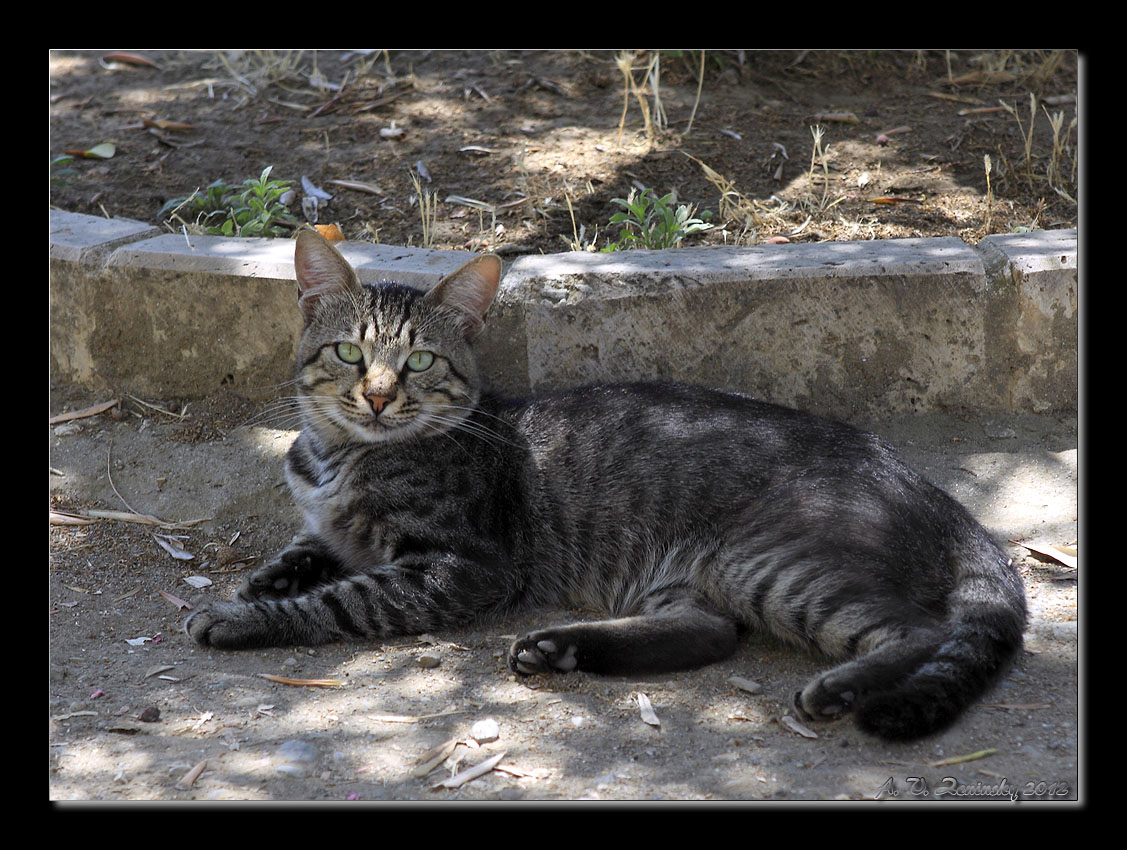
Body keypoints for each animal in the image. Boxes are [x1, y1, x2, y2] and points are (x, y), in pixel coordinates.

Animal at [187, 228, 1032, 739]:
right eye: (349, 354)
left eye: (419, 361)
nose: (377, 396)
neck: (340, 456)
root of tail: (933, 494)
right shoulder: (331, 521)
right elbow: (309, 548)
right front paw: (267, 579)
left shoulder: (459, 567)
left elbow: (341, 599)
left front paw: (241, 616)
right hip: (694, 577)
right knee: (709, 633)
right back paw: (560, 647)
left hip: (770, 564)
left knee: (916, 632)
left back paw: (840, 689)